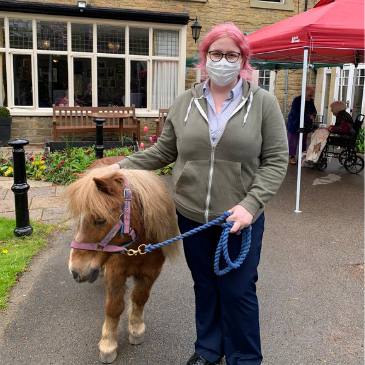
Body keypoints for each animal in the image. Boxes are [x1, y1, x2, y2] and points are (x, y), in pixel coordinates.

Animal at [65, 167, 181, 362]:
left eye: (100, 220)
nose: (75, 271)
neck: (137, 248)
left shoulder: (150, 274)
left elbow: (140, 299)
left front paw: (136, 330)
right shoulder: (115, 274)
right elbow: (114, 307)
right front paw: (108, 345)